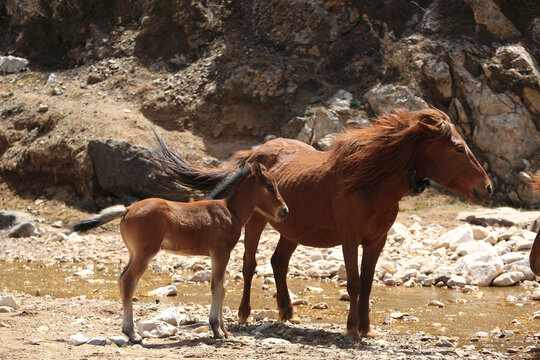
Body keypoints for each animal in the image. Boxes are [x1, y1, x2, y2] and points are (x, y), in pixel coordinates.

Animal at [75, 162, 292, 342]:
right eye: (270, 187)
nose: (285, 211)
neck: (229, 211)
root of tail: (127, 209)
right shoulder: (220, 252)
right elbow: (217, 287)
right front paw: (217, 330)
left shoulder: (220, 255)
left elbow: (222, 287)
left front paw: (224, 331)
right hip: (145, 253)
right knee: (129, 281)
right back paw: (133, 334)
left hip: (133, 253)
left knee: (121, 280)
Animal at [152, 109, 494, 340]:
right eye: (459, 148)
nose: (487, 188)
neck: (370, 182)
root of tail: (254, 154)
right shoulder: (349, 238)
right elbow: (354, 283)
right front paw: (352, 329)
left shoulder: (376, 240)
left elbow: (368, 284)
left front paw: (366, 328)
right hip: (256, 222)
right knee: (250, 266)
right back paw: (244, 314)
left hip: (292, 228)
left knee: (278, 263)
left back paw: (287, 312)